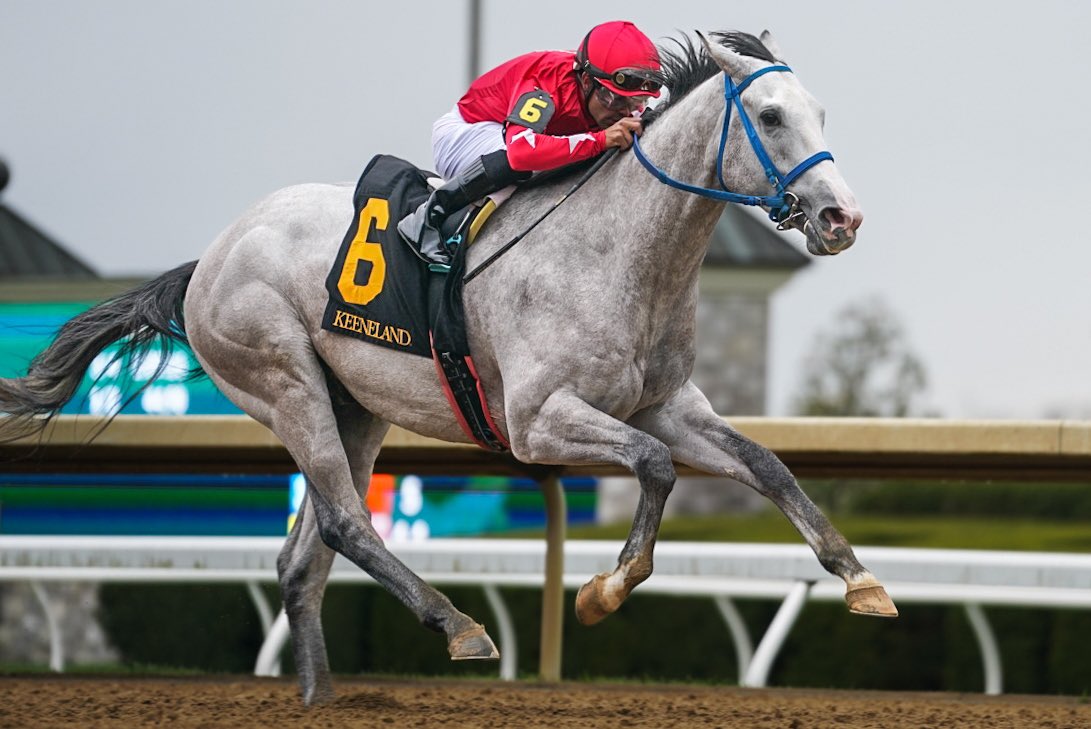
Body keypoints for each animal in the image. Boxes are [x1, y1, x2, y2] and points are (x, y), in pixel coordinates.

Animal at [0, 31, 894, 702]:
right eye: (770, 117)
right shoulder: (538, 422)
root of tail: (207, 259)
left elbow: (767, 465)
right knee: (344, 521)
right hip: (283, 380)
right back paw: (457, 625)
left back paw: (322, 697)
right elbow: (651, 467)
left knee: (302, 557)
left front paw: (860, 580)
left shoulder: (666, 405)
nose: (841, 217)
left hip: (354, 405)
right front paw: (603, 590)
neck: (621, 253)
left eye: (818, 112)